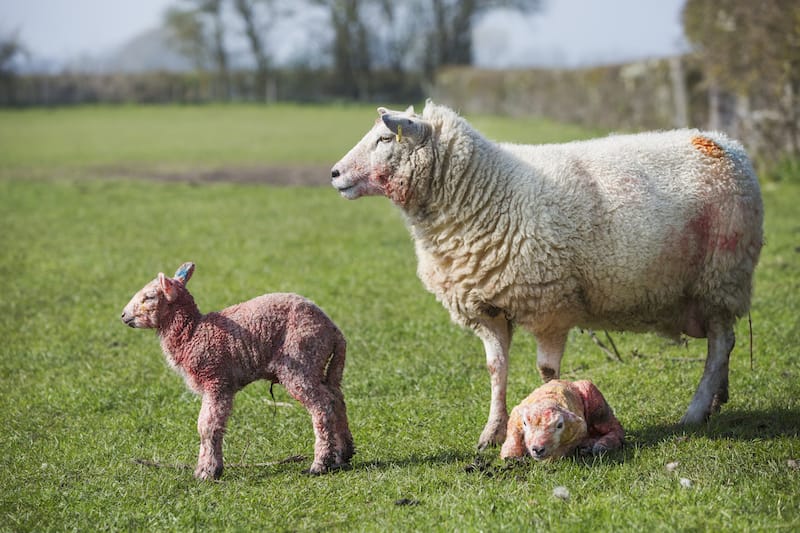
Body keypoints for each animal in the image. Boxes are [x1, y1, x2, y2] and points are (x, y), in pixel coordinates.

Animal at [119, 264, 354, 476]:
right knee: (337, 399)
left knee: (322, 406)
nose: (123, 315)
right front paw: (208, 467)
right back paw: (342, 456)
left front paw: (207, 471)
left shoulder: (216, 380)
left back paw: (319, 464)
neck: (193, 332)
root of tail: (334, 331)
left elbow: (207, 425)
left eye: (149, 297)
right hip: (320, 365)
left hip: (300, 361)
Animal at [330, 101, 764, 448]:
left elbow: (547, 372)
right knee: (721, 343)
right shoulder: (486, 307)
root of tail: (728, 145)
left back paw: (695, 411)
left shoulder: (548, 304)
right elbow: (496, 369)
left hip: (721, 276)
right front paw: (491, 433)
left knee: (720, 345)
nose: (334, 173)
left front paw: (544, 413)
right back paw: (717, 400)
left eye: (384, 139)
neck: (483, 192)